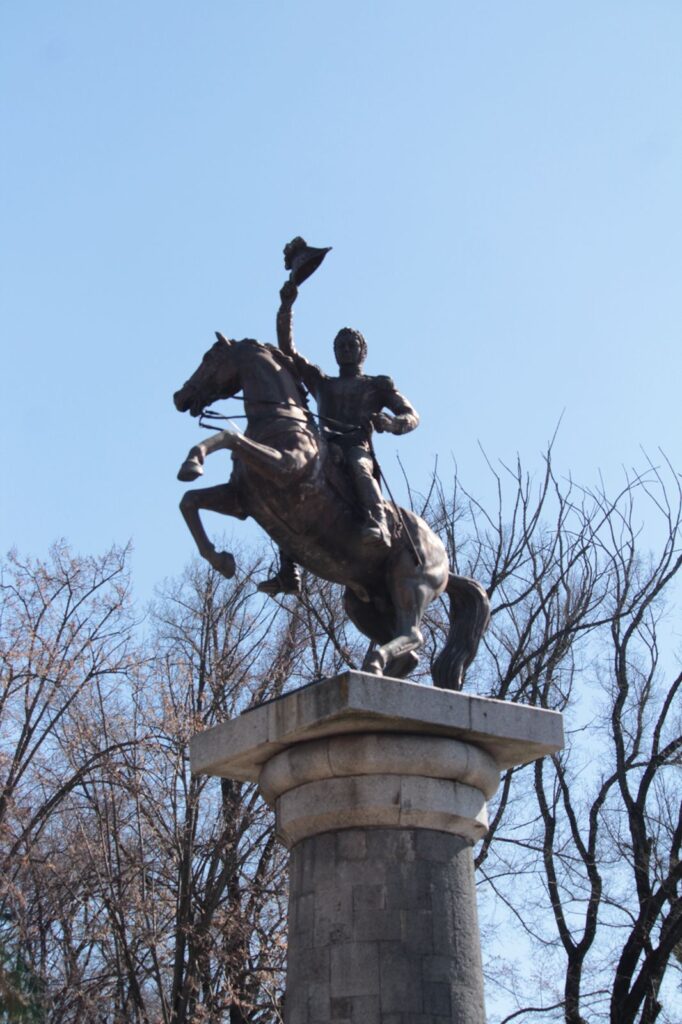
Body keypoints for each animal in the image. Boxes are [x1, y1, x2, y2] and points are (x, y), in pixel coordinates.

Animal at [173, 335, 485, 688]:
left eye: (209, 359)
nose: (179, 396)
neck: (280, 421)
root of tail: (443, 559)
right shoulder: (242, 500)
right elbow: (189, 501)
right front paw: (221, 561)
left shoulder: (283, 466)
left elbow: (229, 436)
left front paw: (192, 463)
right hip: (363, 604)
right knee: (410, 651)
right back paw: (374, 672)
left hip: (410, 586)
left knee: (414, 635)